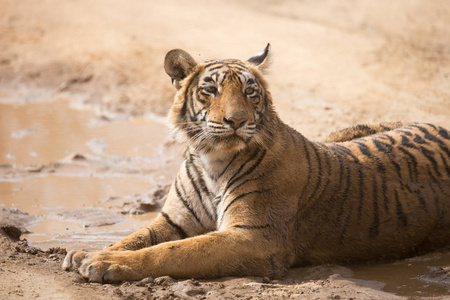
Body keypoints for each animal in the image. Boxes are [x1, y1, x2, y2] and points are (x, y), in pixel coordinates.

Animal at [62, 44, 450, 284]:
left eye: (250, 92)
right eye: (210, 90)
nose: (235, 121)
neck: (210, 158)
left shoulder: (253, 236)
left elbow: (171, 252)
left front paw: (103, 263)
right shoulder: (174, 220)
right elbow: (135, 238)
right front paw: (85, 253)